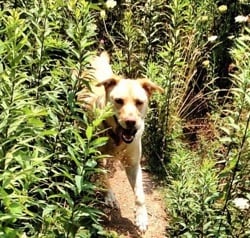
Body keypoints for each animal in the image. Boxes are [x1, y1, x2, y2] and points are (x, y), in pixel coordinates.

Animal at [78, 52, 164, 232]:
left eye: (139, 102)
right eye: (118, 100)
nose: (131, 122)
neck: (117, 138)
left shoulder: (133, 164)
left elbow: (140, 195)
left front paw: (141, 218)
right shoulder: (95, 156)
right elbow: (103, 176)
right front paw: (109, 196)